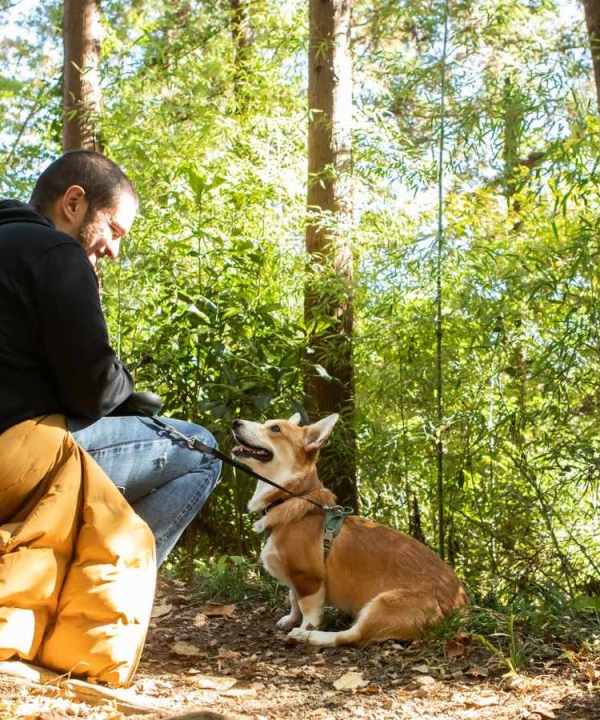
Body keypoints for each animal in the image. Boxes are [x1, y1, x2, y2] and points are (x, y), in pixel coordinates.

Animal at [230, 410, 468, 648]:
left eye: (275, 429)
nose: (235, 422)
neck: (289, 497)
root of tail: (459, 605)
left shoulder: (309, 579)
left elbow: (308, 610)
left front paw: (303, 628)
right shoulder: (296, 580)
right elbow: (292, 598)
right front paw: (290, 619)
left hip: (382, 604)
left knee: (351, 636)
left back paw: (308, 636)